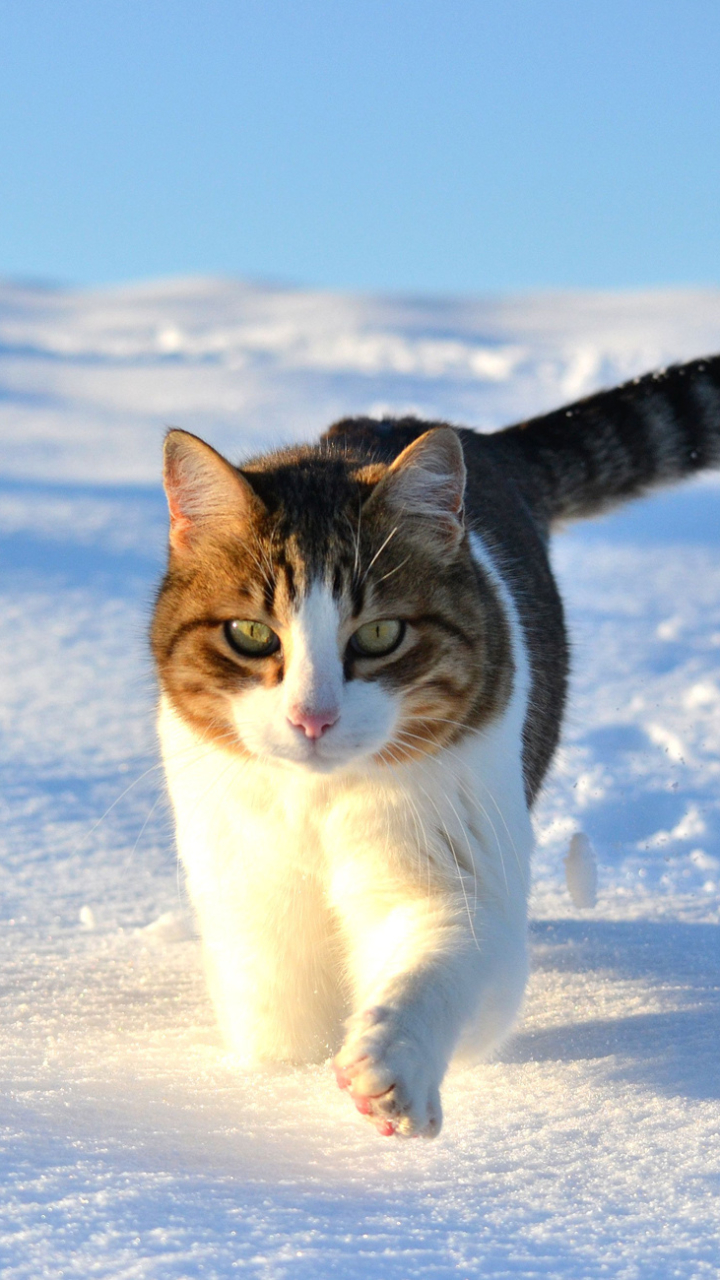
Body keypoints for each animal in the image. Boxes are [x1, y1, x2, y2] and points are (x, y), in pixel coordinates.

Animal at [151, 353, 717, 1141]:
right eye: (253, 633)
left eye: (381, 635)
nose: (313, 718)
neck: (319, 800)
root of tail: (482, 443)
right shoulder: (249, 880)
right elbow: (280, 1017)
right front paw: (273, 1086)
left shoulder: (456, 848)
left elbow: (443, 959)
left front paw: (392, 1066)